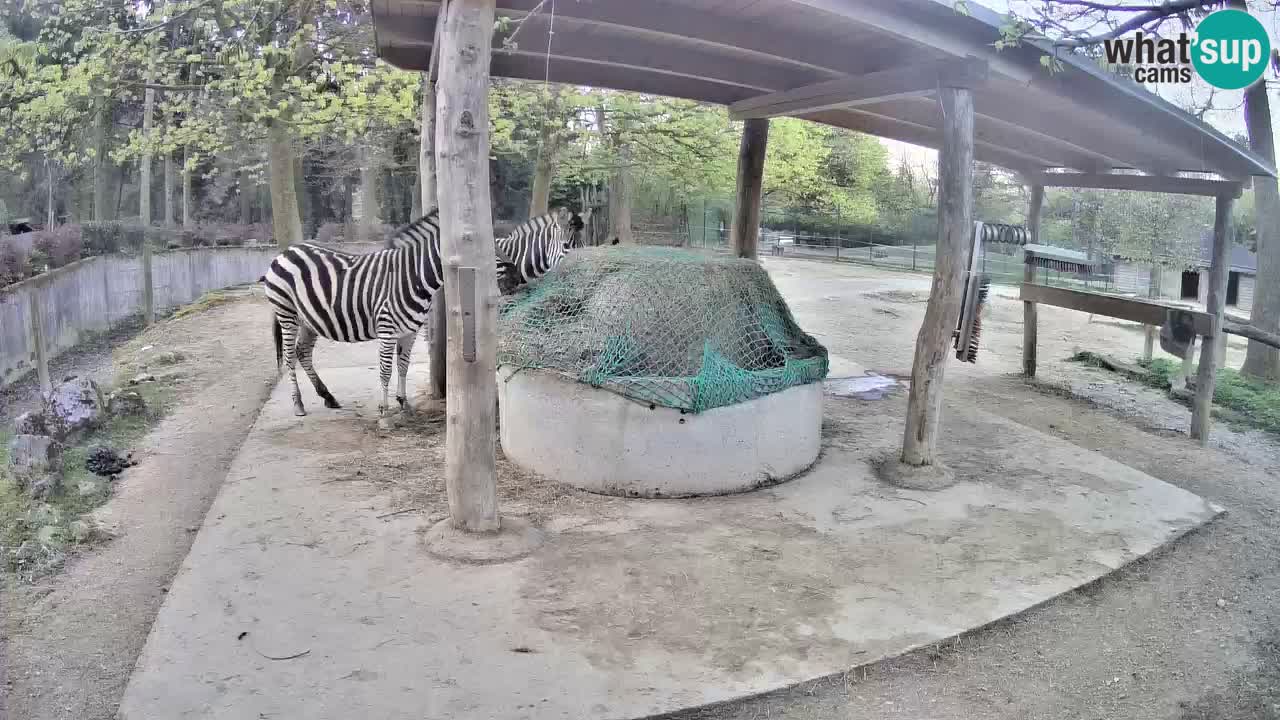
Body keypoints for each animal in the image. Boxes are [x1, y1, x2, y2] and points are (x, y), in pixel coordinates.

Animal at [259, 207, 581, 417]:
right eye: (485, 251)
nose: (514, 280)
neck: (412, 275)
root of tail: (284, 252)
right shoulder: (387, 329)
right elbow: (385, 369)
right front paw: (384, 412)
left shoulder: (410, 330)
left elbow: (402, 366)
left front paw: (404, 404)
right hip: (287, 313)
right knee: (289, 357)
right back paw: (298, 404)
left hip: (309, 320)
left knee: (302, 353)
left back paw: (327, 397)